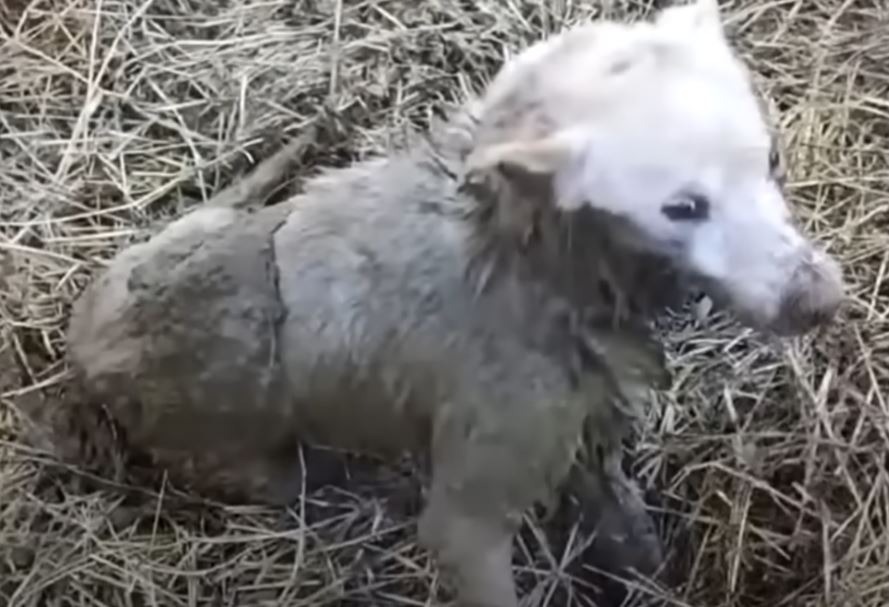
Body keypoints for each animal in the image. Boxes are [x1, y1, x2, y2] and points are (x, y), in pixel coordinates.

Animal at [66, 2, 844, 604]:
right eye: (681, 206)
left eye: (771, 158)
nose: (819, 300)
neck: (520, 260)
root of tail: (87, 331)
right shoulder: (478, 483)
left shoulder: (584, 416)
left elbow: (616, 511)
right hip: (247, 457)